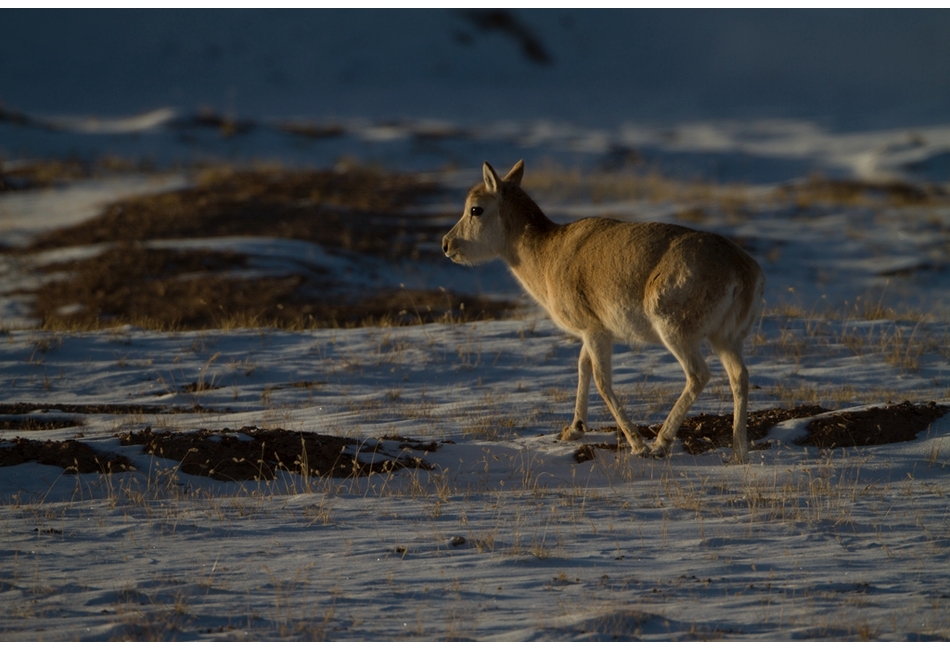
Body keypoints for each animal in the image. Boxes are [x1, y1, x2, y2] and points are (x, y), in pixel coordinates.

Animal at [444, 161, 768, 460]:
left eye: (476, 209)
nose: (447, 244)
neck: (547, 254)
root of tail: (742, 270)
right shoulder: (593, 331)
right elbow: (583, 366)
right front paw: (573, 429)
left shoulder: (594, 331)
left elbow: (600, 380)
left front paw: (636, 444)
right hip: (725, 338)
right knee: (739, 375)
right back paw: (739, 452)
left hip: (676, 331)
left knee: (698, 375)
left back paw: (660, 443)